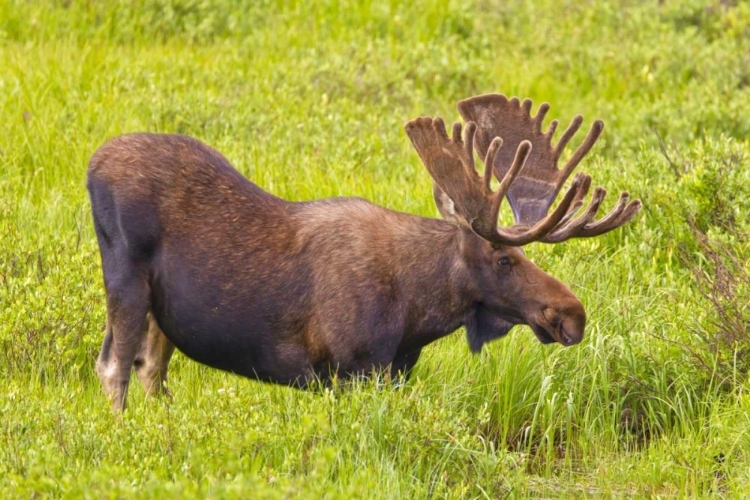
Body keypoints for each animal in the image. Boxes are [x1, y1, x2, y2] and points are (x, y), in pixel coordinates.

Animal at [86, 94, 640, 410]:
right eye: (505, 259)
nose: (573, 313)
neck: (418, 312)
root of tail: (92, 164)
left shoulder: (394, 371)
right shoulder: (351, 369)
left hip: (163, 312)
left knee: (150, 370)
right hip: (125, 280)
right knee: (113, 367)